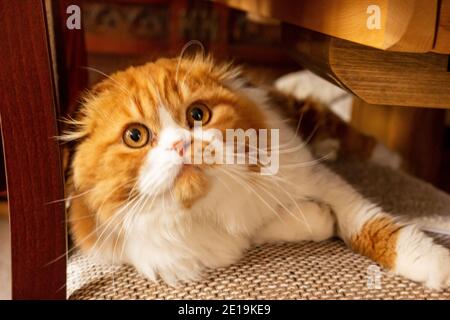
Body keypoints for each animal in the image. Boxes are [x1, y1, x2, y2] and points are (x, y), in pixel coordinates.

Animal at [63, 55, 450, 290]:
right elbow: (270, 229)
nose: (182, 146)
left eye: (198, 115)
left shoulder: (319, 179)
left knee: (344, 127)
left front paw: (437, 265)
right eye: (136, 136)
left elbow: (375, 229)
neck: (209, 206)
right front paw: (317, 218)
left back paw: (386, 158)